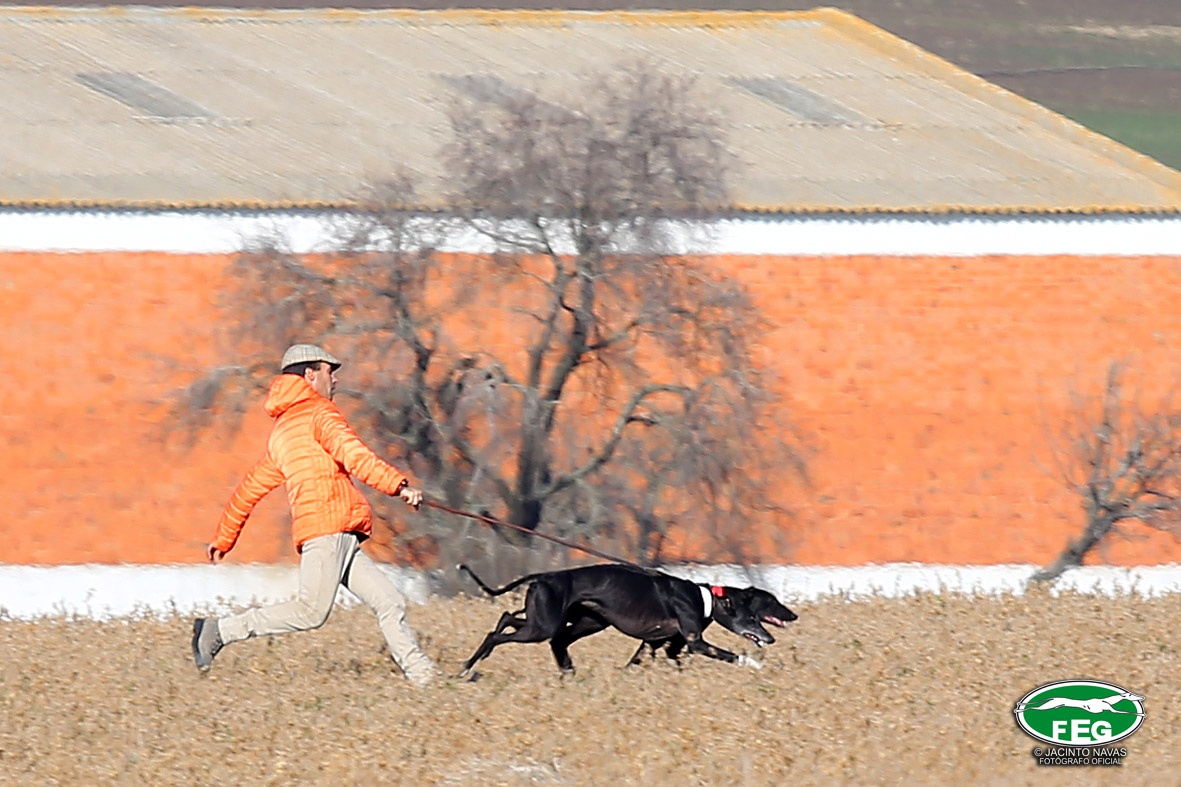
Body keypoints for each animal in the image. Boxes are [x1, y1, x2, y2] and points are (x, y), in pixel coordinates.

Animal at [457, 563, 797, 677]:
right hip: (544, 625)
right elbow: (729, 654)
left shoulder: (658, 644)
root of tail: (544, 576)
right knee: (497, 634)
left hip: (574, 621)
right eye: (768, 604)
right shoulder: (695, 642)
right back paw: (467, 667)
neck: (704, 599)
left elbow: (644, 661)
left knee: (508, 618)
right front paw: (754, 665)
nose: (770, 638)